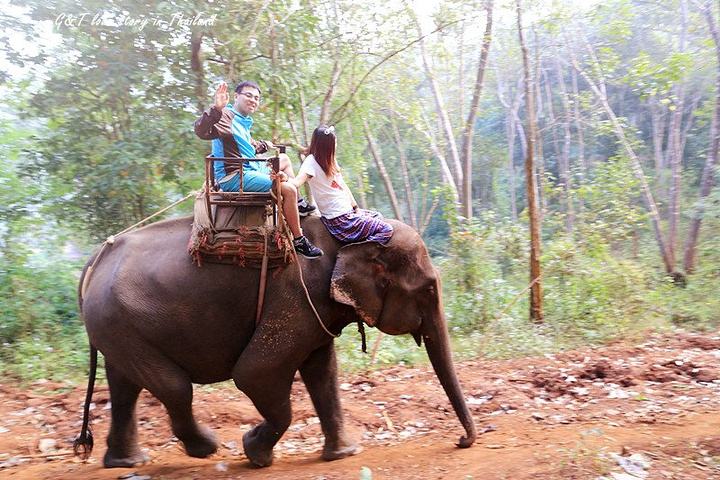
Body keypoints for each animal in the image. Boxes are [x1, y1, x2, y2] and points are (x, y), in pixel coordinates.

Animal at [74, 215, 478, 468]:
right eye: (429, 289)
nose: (461, 442)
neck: (345, 236)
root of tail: (96, 256)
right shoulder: (297, 296)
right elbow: (256, 373)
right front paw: (254, 452)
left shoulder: (316, 313)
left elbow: (323, 373)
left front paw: (344, 454)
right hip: (118, 323)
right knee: (173, 386)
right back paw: (207, 448)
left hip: (116, 325)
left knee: (125, 386)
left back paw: (127, 462)